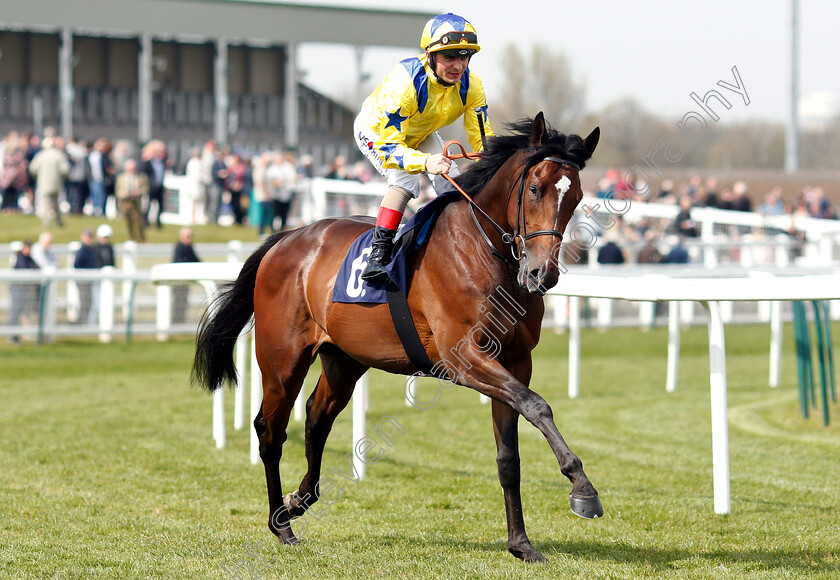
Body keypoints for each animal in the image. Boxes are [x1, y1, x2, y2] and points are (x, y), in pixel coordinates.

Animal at [195, 113, 604, 560]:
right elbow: (538, 406)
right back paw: (281, 524)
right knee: (271, 430)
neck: (483, 250)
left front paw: (521, 543)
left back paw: (299, 500)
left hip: (344, 359)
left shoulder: (516, 361)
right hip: (282, 359)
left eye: (576, 195)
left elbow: (509, 454)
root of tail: (286, 237)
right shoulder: (464, 358)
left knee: (317, 419)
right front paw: (583, 489)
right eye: (534, 189)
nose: (541, 274)